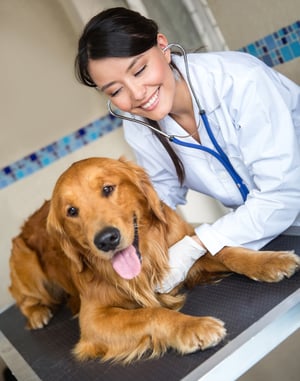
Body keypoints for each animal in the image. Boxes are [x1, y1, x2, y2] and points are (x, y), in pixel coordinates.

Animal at [9, 157, 300, 362]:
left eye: (107, 188)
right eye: (71, 211)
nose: (106, 240)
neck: (145, 260)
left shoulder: (181, 249)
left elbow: (226, 251)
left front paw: (271, 261)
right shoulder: (93, 320)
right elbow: (151, 313)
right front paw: (192, 326)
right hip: (24, 262)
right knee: (23, 297)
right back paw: (37, 313)